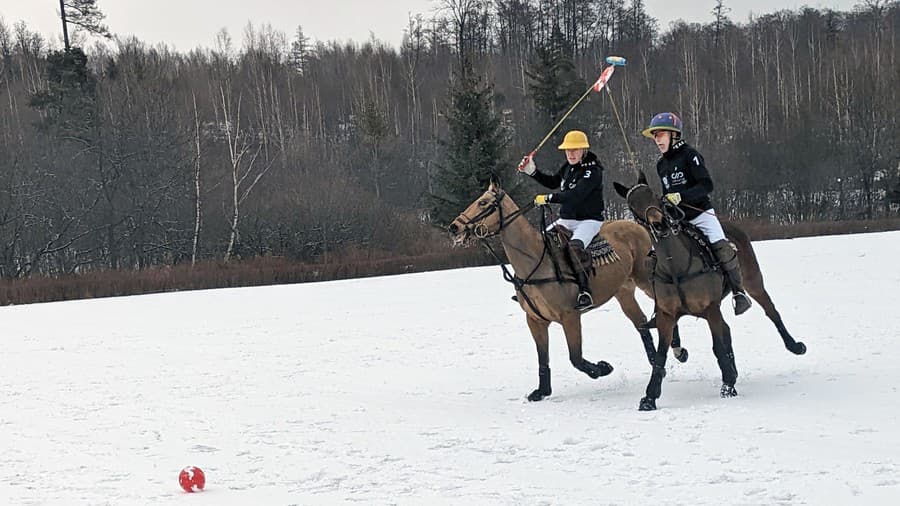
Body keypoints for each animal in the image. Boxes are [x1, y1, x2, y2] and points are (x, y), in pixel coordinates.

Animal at [448, 180, 652, 402]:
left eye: (484, 202)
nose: (454, 227)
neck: (535, 260)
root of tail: (636, 224)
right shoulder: (535, 320)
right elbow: (542, 358)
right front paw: (541, 391)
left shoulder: (570, 316)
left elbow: (576, 357)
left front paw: (603, 368)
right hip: (623, 291)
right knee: (641, 323)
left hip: (645, 280)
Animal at [616, 174, 804, 412]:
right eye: (633, 206)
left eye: (654, 195)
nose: (659, 224)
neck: (676, 267)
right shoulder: (667, 315)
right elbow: (660, 355)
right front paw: (649, 398)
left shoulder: (710, 307)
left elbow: (718, 347)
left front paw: (728, 387)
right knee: (728, 329)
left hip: (753, 280)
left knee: (770, 311)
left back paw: (794, 346)